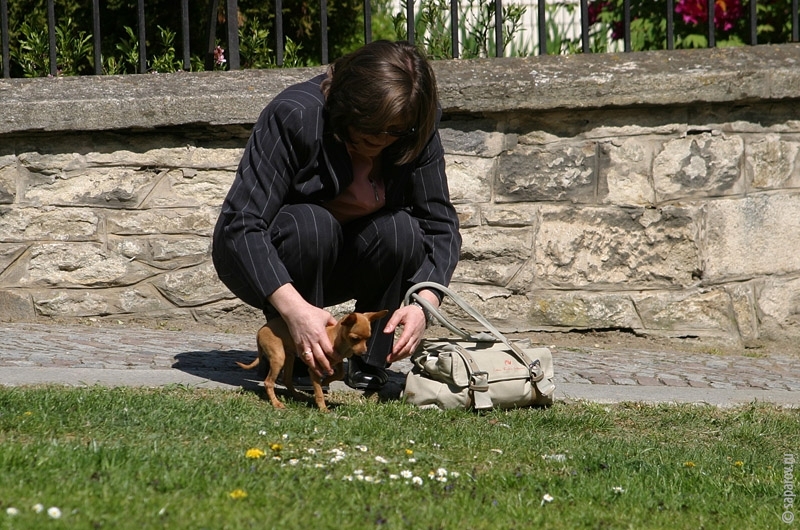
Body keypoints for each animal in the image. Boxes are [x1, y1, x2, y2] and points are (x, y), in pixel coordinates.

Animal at [234, 310, 388, 412]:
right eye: (355, 338)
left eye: (368, 338)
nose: (364, 353)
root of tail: (260, 330)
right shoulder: (313, 369)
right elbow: (319, 392)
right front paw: (323, 408)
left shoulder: (337, 362)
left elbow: (339, 373)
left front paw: (325, 381)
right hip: (279, 358)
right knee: (268, 382)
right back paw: (276, 403)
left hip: (289, 357)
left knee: (287, 379)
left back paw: (297, 395)